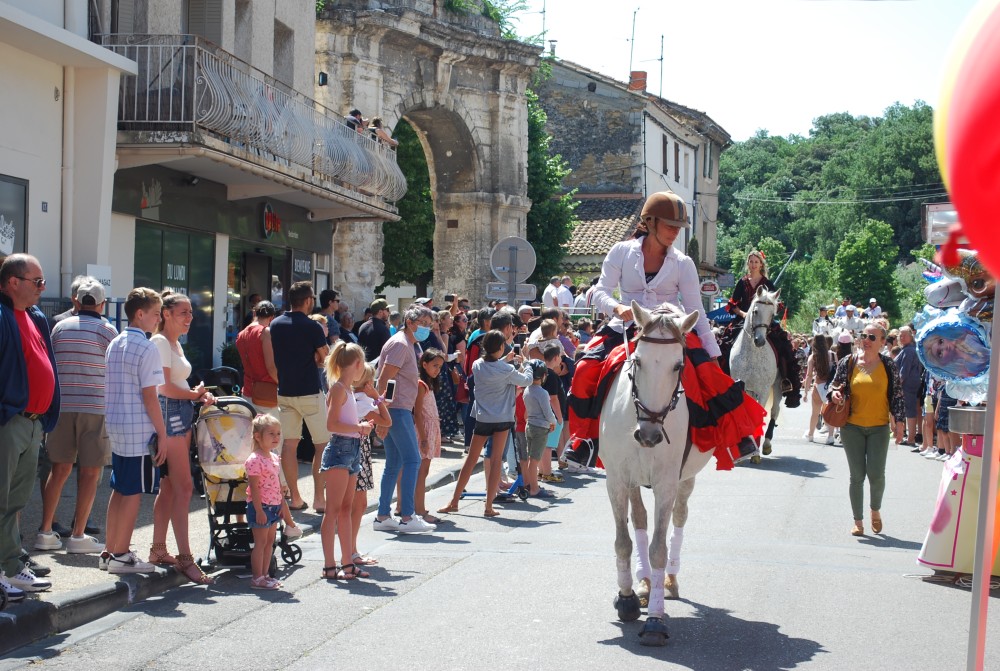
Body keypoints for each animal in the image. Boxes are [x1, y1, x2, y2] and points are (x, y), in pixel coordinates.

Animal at [600, 300, 712, 644]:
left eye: (678, 366)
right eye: (637, 360)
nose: (648, 435)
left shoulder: (666, 483)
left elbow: (659, 549)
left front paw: (655, 621)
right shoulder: (617, 480)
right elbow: (623, 541)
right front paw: (626, 599)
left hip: (685, 479)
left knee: (679, 517)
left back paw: (668, 582)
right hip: (635, 480)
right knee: (639, 519)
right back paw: (645, 585)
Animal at [728, 286, 780, 460]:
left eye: (772, 314)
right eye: (756, 311)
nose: (760, 341)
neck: (753, 354)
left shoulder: (764, 389)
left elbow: (760, 415)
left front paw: (755, 454)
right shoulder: (741, 385)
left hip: (778, 386)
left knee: (774, 411)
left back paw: (767, 444)